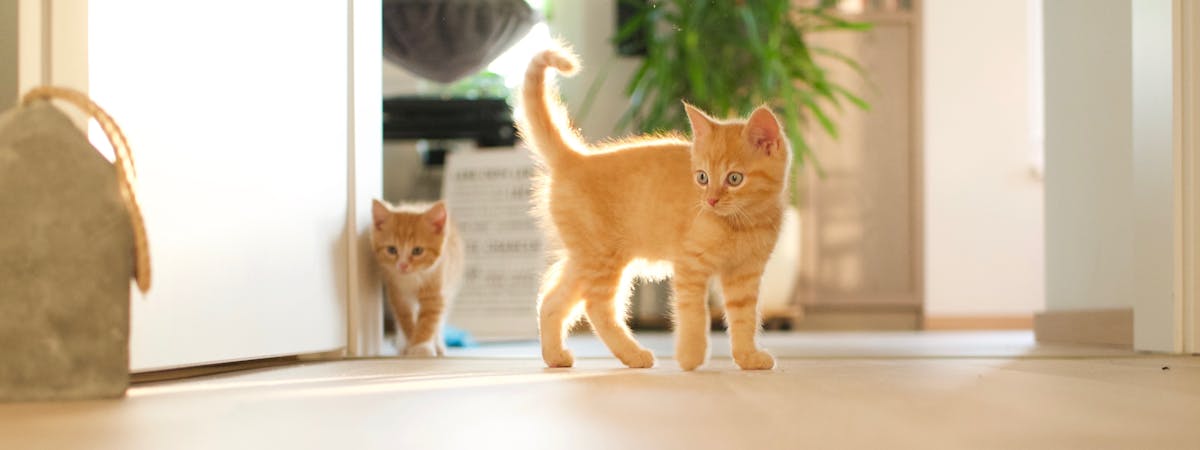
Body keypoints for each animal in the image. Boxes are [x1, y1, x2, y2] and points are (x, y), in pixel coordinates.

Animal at [369, 199, 463, 357]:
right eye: (392, 250)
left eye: (417, 250)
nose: (402, 265)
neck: (412, 279)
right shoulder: (397, 293)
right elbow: (405, 318)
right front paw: (411, 342)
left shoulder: (437, 288)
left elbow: (429, 319)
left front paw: (421, 346)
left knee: (441, 319)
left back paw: (438, 344)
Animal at [513, 46, 787, 369]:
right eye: (702, 177)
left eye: (734, 178)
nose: (710, 200)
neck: (743, 222)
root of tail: (576, 158)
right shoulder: (690, 265)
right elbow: (694, 314)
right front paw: (691, 356)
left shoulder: (745, 274)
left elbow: (744, 318)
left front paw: (747, 357)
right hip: (603, 258)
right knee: (598, 307)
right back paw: (633, 354)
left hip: (585, 257)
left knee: (551, 299)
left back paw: (555, 356)